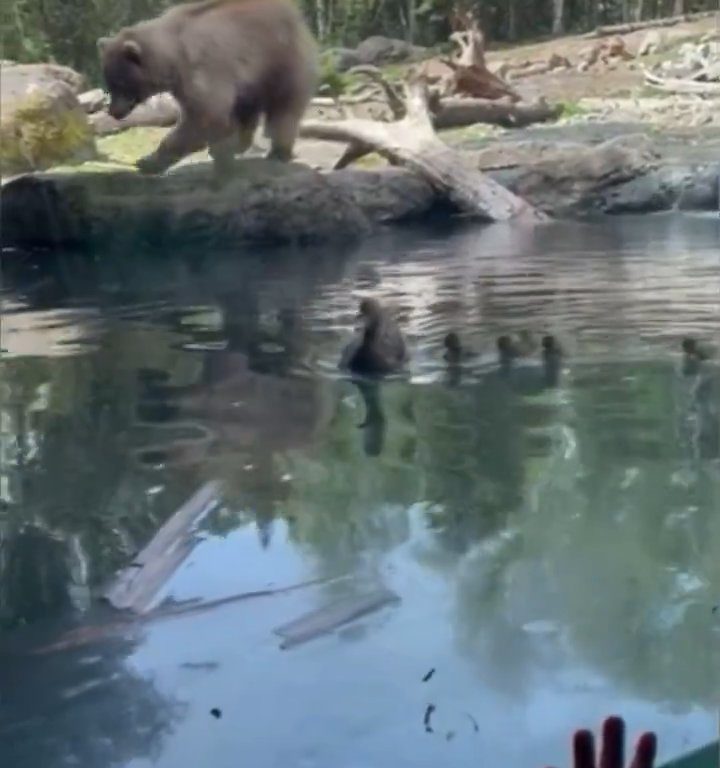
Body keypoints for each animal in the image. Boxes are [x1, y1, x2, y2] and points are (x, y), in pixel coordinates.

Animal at [97, 0, 318, 176]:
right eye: (109, 83)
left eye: (121, 84)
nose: (114, 111)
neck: (172, 59)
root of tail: (295, 14)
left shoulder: (202, 69)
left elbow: (207, 115)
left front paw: (147, 162)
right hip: (251, 80)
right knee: (247, 111)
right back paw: (239, 145)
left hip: (280, 60)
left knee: (284, 108)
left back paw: (278, 152)